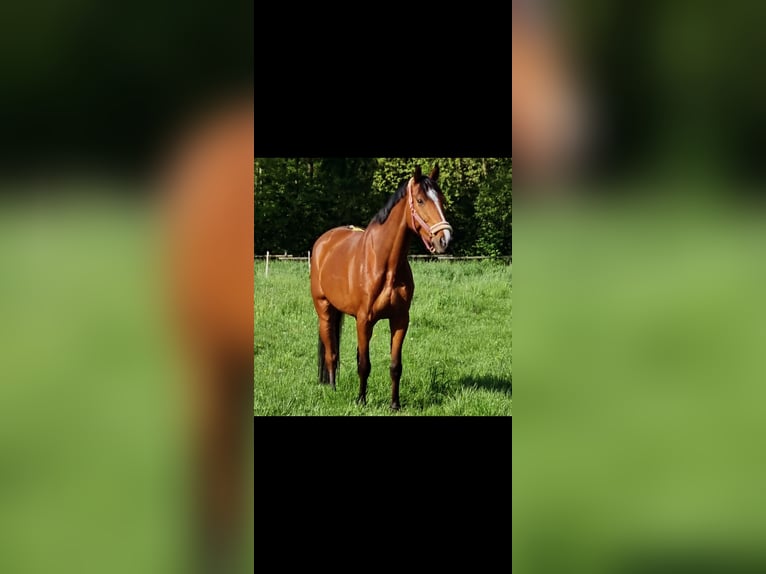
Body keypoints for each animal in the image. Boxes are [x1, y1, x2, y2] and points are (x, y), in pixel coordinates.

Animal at [310, 164, 452, 412]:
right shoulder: (364, 320)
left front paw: (394, 404)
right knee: (331, 352)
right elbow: (364, 364)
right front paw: (361, 400)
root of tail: (324, 241)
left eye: (442, 199)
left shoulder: (400, 320)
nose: (444, 239)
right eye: (421, 200)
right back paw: (333, 388)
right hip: (324, 310)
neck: (385, 264)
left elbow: (395, 365)